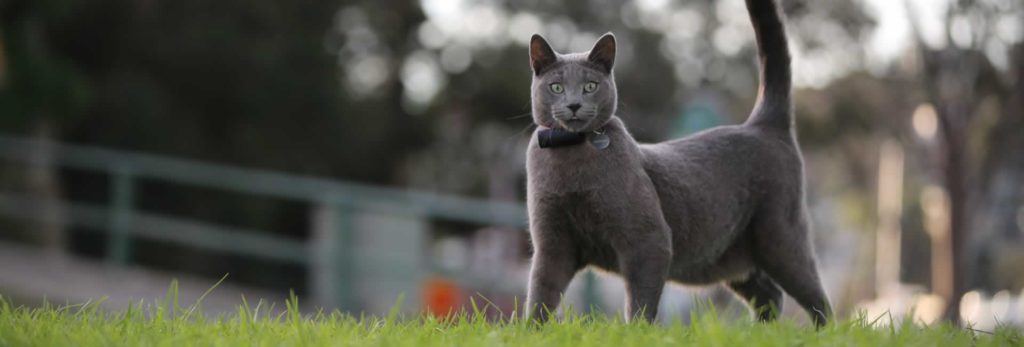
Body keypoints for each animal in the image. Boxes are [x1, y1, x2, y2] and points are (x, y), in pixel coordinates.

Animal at [528, 0, 831, 325]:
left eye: (590, 86)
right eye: (556, 87)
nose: (573, 104)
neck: (570, 156)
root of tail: (762, 124)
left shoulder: (649, 241)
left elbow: (641, 302)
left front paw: (636, 330)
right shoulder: (552, 245)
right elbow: (541, 293)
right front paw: (532, 329)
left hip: (779, 234)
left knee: (816, 298)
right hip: (724, 256)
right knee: (769, 294)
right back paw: (760, 331)